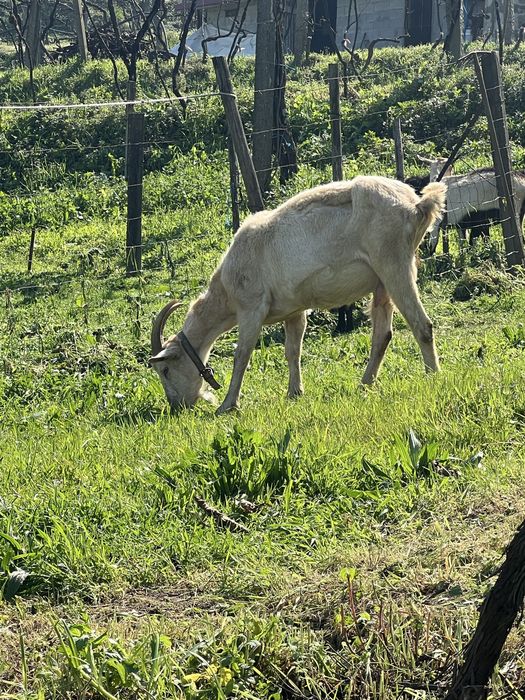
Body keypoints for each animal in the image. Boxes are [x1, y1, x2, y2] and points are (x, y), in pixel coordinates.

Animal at [150, 176, 446, 414]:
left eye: (164, 369)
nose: (176, 407)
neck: (226, 287)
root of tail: (417, 205)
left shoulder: (251, 307)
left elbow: (242, 354)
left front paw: (227, 405)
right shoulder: (294, 311)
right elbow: (293, 350)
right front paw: (294, 392)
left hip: (394, 263)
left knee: (422, 324)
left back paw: (433, 376)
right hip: (382, 281)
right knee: (382, 334)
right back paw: (364, 383)